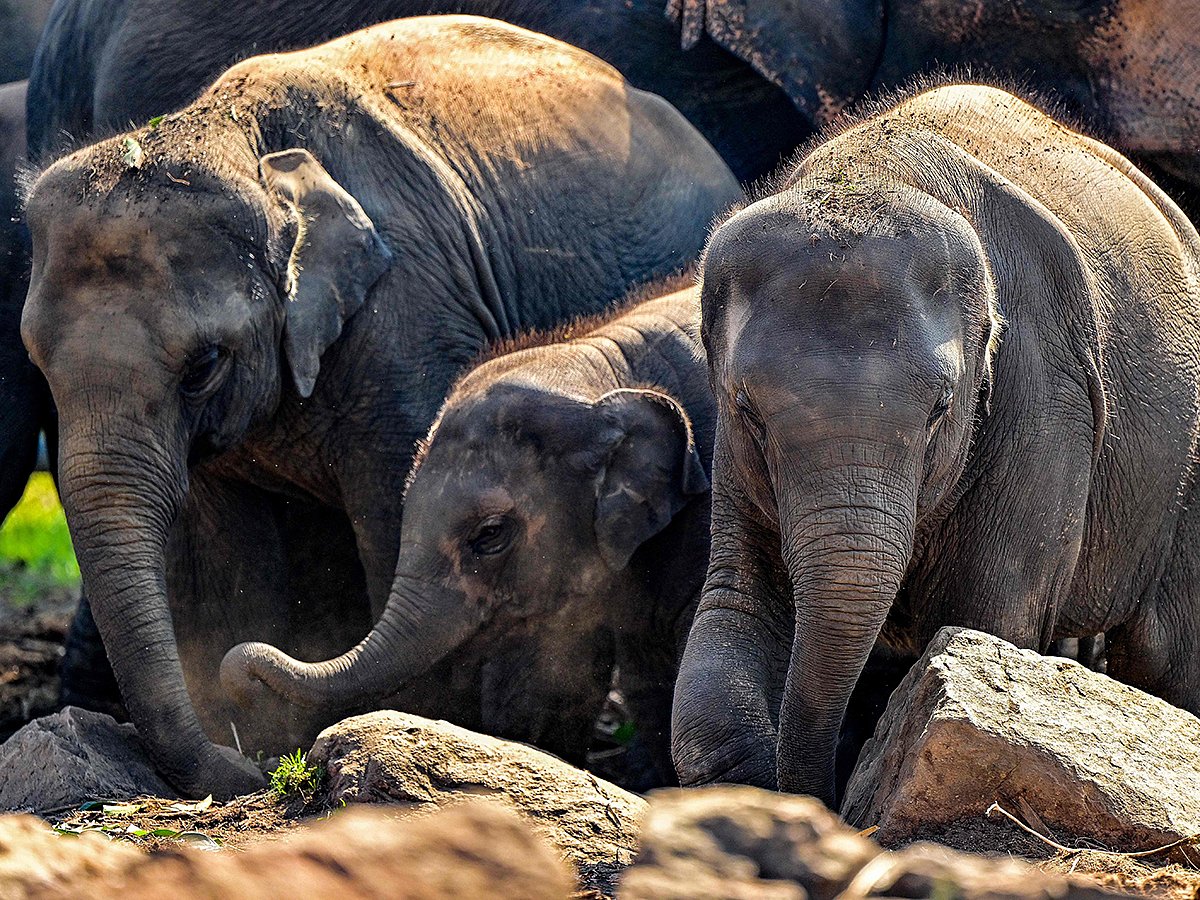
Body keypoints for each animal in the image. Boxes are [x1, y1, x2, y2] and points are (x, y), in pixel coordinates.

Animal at [674, 83, 1200, 808]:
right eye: (747, 409)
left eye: (941, 410)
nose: (822, 799)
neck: (872, 175)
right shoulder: (733, 457)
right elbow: (732, 617)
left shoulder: (1042, 395)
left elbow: (989, 621)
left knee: (1168, 654)